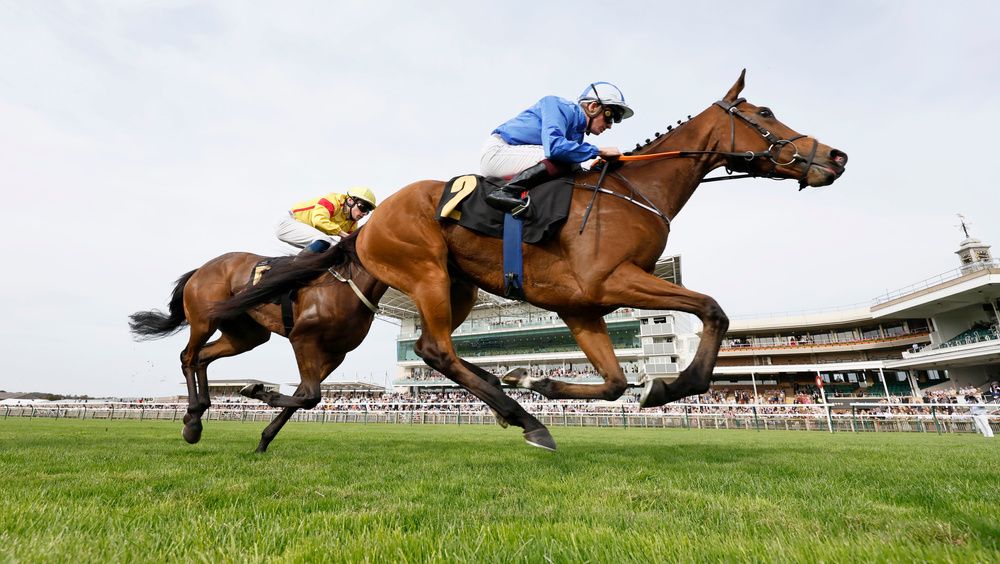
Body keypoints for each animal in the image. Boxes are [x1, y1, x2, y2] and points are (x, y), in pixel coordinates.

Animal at [129, 234, 386, 454]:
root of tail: (200, 269)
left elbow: (302, 397)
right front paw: (255, 390)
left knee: (202, 356)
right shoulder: (302, 339)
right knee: (188, 356)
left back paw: (197, 412)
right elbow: (310, 397)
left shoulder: (335, 354)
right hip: (204, 320)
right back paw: (192, 420)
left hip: (245, 335)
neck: (348, 284)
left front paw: (264, 440)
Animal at [356, 70, 848, 450]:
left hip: (459, 286)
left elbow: (615, 383)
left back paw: (507, 385)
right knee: (439, 349)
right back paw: (526, 419)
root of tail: (370, 221)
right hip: (426, 273)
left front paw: (537, 381)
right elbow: (712, 310)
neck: (634, 193)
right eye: (764, 113)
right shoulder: (610, 279)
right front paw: (667, 386)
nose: (836, 156)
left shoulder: (582, 307)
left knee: (429, 348)